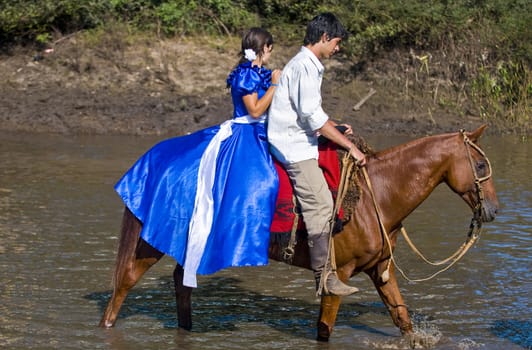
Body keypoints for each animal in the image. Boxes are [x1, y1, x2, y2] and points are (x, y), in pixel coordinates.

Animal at [96, 124, 498, 344]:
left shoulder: (380, 269)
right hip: (148, 243)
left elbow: (403, 320)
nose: (493, 209)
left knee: (182, 282)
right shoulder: (338, 275)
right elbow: (324, 330)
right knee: (124, 284)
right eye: (480, 165)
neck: (378, 195)